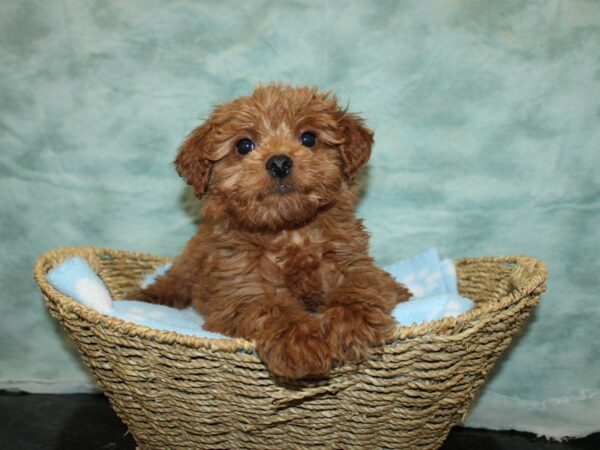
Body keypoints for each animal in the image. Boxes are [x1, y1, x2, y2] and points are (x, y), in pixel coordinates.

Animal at [138, 82, 412, 378]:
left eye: (308, 138)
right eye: (244, 145)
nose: (279, 162)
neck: (288, 230)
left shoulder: (358, 267)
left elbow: (358, 291)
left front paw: (347, 328)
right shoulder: (238, 289)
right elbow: (272, 308)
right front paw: (301, 343)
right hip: (190, 263)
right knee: (172, 281)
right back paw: (144, 297)